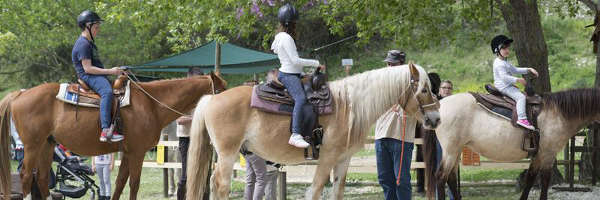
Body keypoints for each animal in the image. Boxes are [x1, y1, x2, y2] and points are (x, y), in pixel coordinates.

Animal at [0, 72, 227, 199]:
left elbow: (119, 184)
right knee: (26, 176)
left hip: (47, 144)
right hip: (32, 146)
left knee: (42, 178)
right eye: (221, 90)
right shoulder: (137, 153)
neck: (152, 105)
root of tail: (20, 93)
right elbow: (133, 184)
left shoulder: (127, 153)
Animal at [184, 63, 440, 200]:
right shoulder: (326, 158)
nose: (436, 118)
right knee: (220, 184)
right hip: (227, 153)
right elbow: (315, 191)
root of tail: (212, 99)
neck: (349, 106)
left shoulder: (343, 160)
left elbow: (337, 192)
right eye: (424, 89)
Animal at [424, 89, 600, 200]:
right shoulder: (548, 154)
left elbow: (530, 179)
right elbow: (544, 182)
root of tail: (437, 108)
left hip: (456, 151)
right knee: (441, 177)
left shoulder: (538, 156)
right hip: (451, 151)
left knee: (451, 179)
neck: (558, 113)